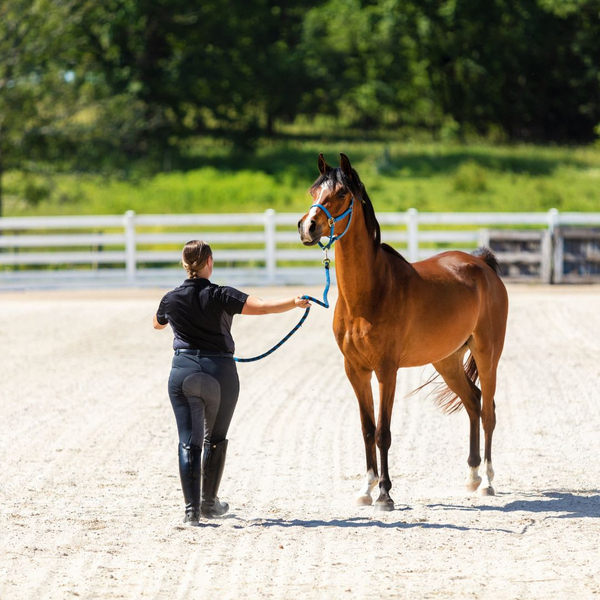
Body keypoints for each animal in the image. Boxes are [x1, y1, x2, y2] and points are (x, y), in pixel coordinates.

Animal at [298, 154, 508, 510]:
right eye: (313, 191)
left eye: (341, 192)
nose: (307, 227)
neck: (368, 294)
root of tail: (482, 265)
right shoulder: (355, 370)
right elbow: (368, 430)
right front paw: (366, 489)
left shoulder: (387, 370)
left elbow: (384, 432)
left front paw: (385, 494)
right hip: (447, 360)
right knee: (473, 401)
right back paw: (472, 476)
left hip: (487, 354)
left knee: (488, 412)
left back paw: (488, 482)